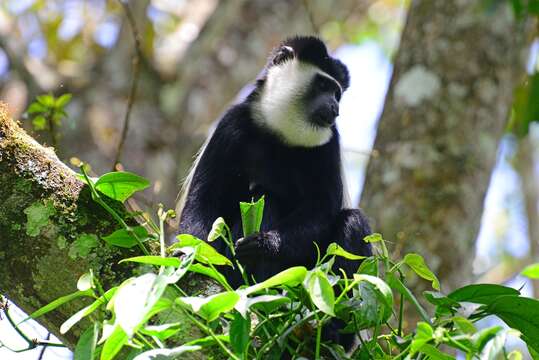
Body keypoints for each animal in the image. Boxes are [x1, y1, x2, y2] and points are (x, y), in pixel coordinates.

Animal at [179, 35, 374, 286]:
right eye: (323, 85)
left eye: (337, 94)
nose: (335, 108)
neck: (281, 132)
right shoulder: (230, 126)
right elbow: (204, 199)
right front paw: (194, 257)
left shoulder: (328, 144)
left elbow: (321, 207)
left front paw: (265, 244)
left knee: (353, 222)